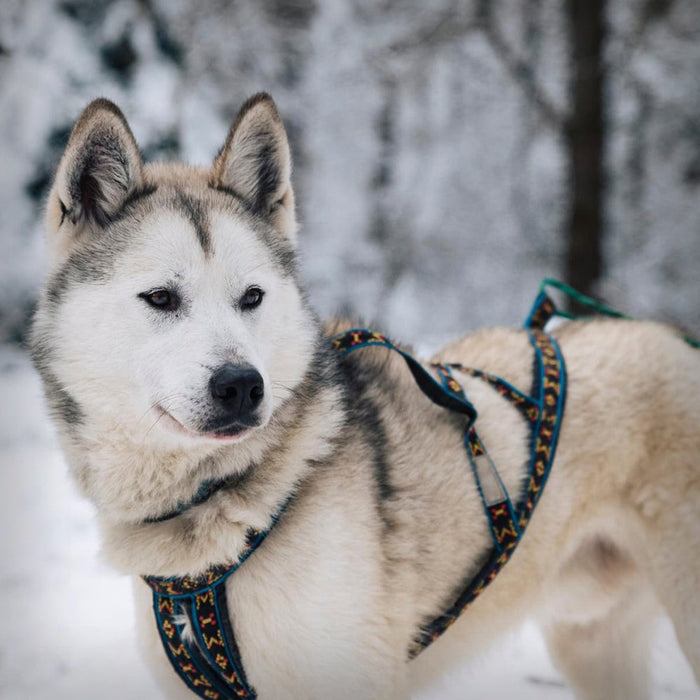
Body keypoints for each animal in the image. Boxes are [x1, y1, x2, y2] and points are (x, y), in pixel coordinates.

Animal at [30, 94, 700, 700]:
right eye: (161, 298)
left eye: (252, 297)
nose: (243, 385)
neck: (222, 505)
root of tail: (672, 338)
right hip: (589, 643)